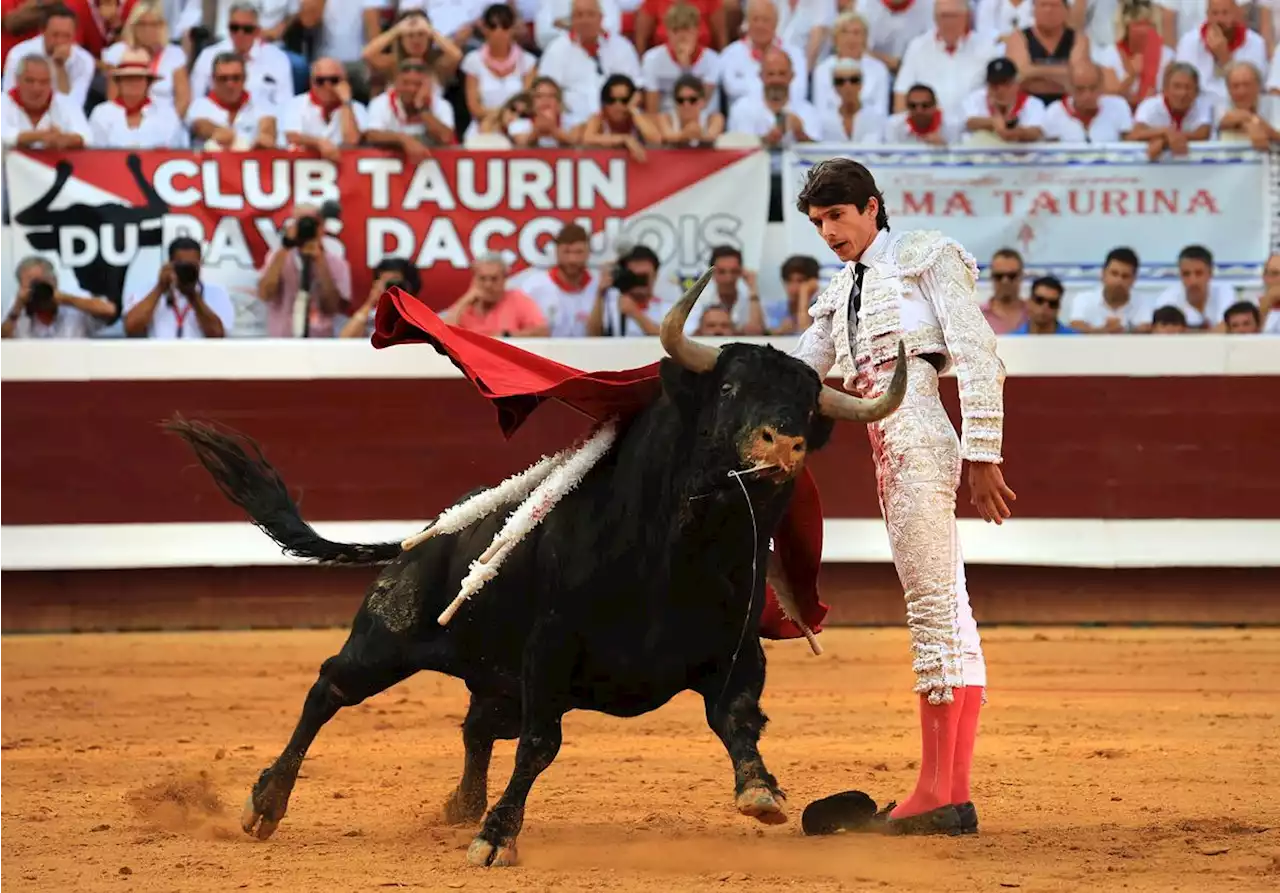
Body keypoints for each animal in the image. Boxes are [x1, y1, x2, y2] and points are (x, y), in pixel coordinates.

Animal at [170, 278, 911, 864]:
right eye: (729, 387)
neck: (679, 556)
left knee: (474, 726)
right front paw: (498, 837)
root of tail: (425, 534)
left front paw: (759, 789)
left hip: (494, 678)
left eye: (807, 408)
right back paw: (267, 803)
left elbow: (737, 718)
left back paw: (460, 804)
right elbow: (539, 744)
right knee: (329, 687)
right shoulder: (550, 648)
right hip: (387, 638)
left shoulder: (735, 648)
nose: (782, 445)